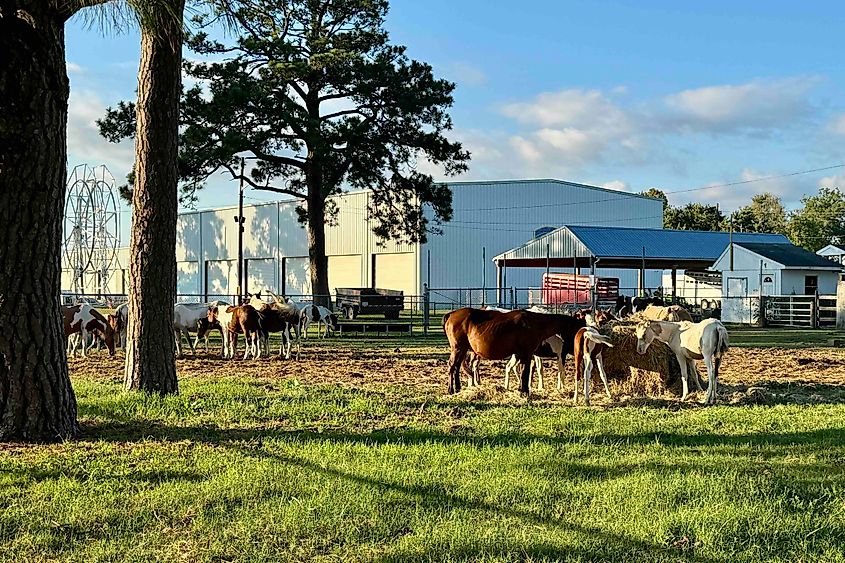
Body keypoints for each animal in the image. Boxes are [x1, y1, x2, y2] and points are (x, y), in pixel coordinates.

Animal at [443, 308, 585, 395]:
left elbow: (522, 371)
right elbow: (525, 372)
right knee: (452, 366)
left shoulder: (520, 354)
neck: (535, 323)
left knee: (456, 367)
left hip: (462, 349)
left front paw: (521, 389)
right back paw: (451, 389)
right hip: (458, 348)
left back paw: (458, 388)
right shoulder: (527, 354)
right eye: (578, 326)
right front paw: (525, 391)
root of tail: (451, 314)